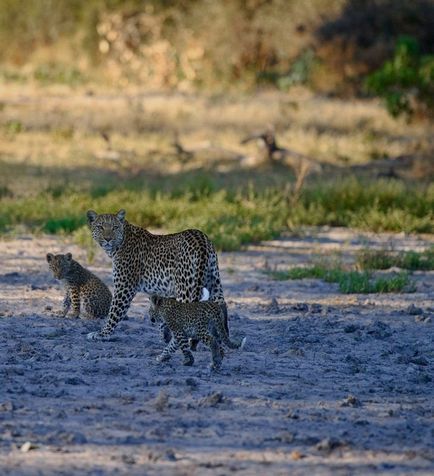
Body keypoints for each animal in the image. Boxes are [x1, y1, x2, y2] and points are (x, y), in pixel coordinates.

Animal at [85, 210, 227, 340]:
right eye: (100, 227)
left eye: (114, 227)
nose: (108, 239)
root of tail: (201, 238)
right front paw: (164, 336)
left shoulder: (124, 287)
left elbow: (114, 312)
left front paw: (102, 333)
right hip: (214, 282)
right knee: (221, 308)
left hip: (186, 288)